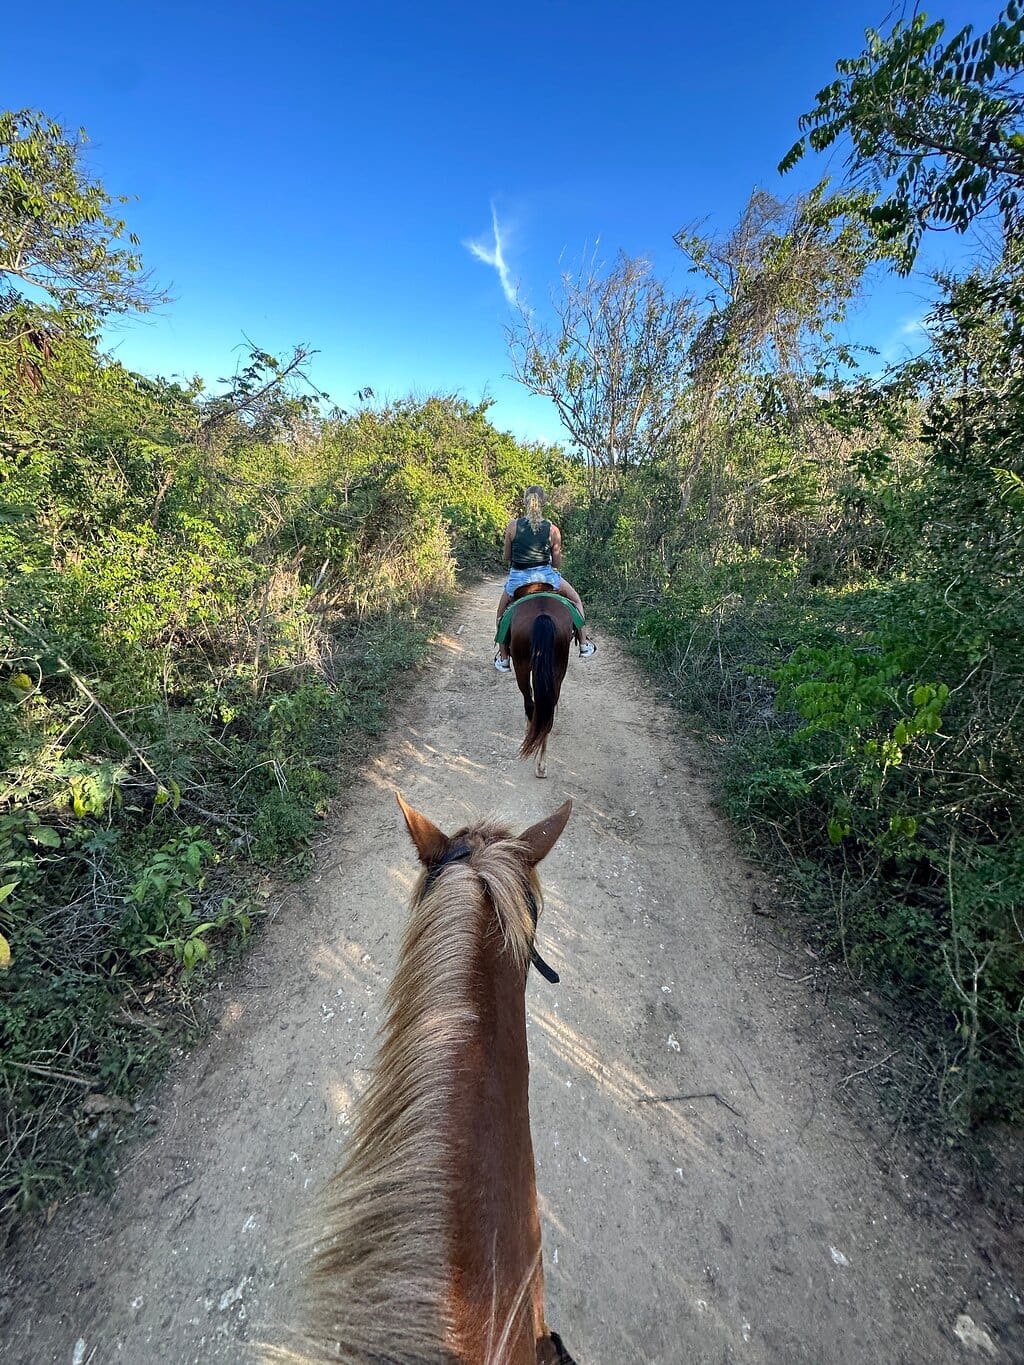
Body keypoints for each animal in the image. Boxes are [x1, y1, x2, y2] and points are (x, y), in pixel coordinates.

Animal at [508, 585, 575, 780]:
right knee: (548, 714)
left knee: (530, 704)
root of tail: (542, 615)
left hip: (521, 665)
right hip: (558, 669)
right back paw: (542, 765)